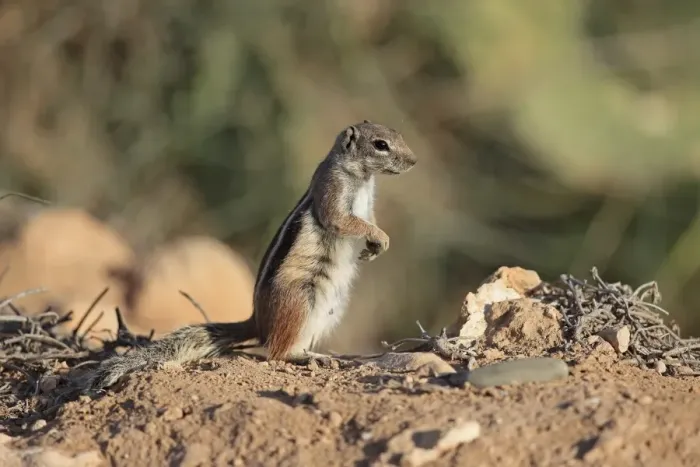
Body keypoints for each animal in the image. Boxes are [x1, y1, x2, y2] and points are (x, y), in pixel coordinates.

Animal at [85, 120, 417, 390]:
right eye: (381, 145)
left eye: (399, 134)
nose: (414, 161)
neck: (362, 178)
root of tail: (257, 321)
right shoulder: (332, 192)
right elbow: (343, 220)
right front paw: (380, 238)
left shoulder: (368, 205)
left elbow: (368, 220)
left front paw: (376, 246)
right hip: (300, 299)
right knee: (277, 353)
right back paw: (307, 357)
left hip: (332, 308)